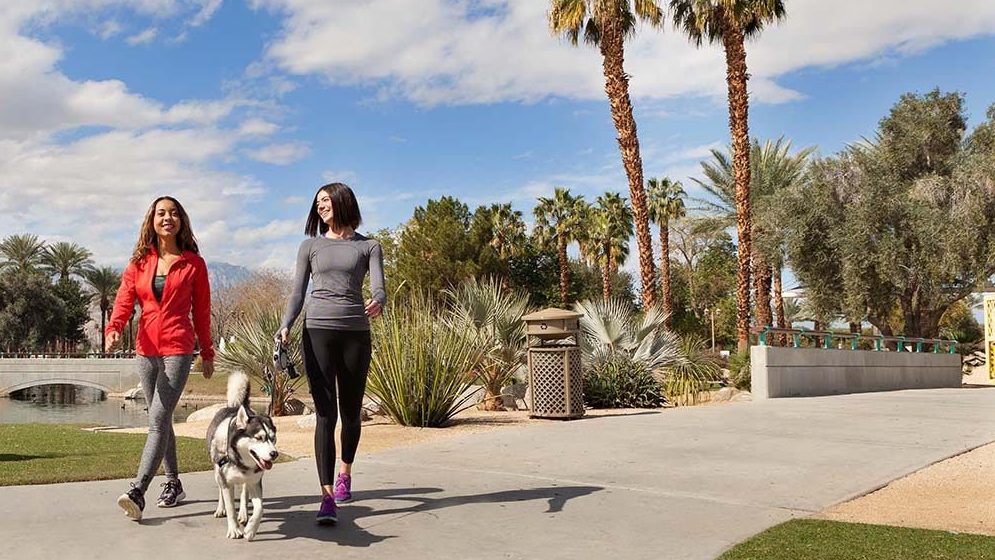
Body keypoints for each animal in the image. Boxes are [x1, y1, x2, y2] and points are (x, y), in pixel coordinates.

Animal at [205, 372, 278, 540]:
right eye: (259, 438)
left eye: (273, 438)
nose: (274, 454)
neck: (239, 461)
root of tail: (235, 406)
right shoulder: (225, 481)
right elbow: (231, 507)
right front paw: (234, 530)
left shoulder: (255, 482)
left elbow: (260, 508)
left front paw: (251, 529)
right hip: (217, 472)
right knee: (221, 491)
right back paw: (220, 509)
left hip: (248, 481)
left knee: (244, 494)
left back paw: (244, 515)